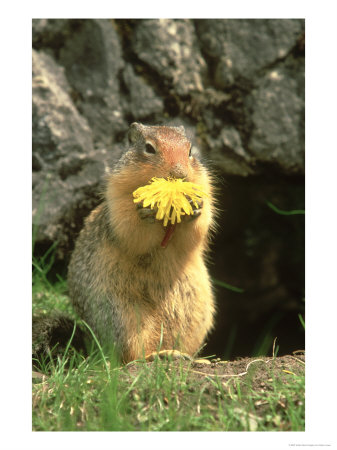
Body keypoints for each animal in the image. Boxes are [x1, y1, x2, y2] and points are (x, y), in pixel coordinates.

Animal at [68, 122, 215, 362]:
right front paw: (144, 210)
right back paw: (157, 356)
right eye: (149, 148)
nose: (179, 173)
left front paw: (195, 207)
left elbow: (196, 231)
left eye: (190, 150)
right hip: (122, 316)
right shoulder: (118, 202)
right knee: (129, 355)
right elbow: (132, 229)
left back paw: (186, 356)